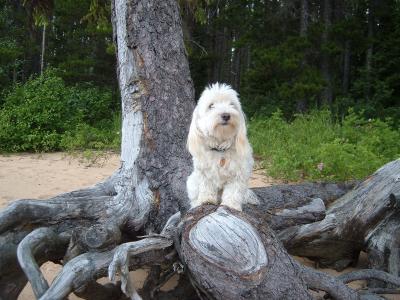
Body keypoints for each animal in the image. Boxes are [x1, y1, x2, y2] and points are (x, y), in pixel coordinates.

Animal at [185, 81, 256, 210]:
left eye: (232, 104)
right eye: (211, 106)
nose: (226, 115)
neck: (220, 148)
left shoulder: (238, 174)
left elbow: (233, 191)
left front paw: (231, 205)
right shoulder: (204, 173)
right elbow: (206, 187)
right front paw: (206, 200)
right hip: (192, 182)